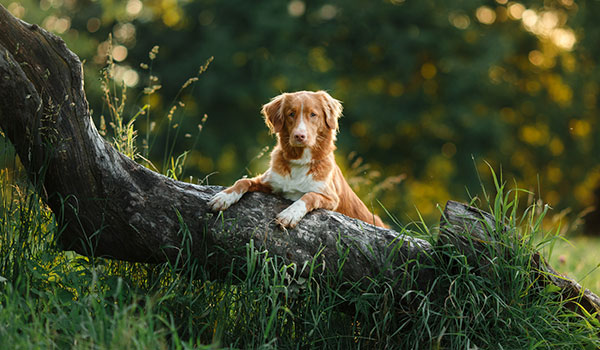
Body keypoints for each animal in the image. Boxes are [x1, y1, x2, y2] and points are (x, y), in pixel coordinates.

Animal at [209, 89, 382, 228]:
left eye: (313, 114)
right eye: (291, 114)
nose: (299, 136)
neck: (300, 161)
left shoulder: (330, 198)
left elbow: (309, 196)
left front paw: (290, 214)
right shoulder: (270, 182)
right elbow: (243, 181)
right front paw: (224, 197)